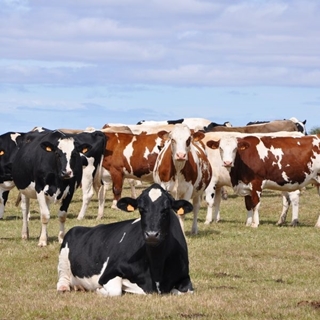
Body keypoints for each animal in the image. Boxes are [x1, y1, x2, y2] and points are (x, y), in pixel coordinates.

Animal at [56, 184, 194, 296]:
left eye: (166, 209)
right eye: (141, 209)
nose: (151, 234)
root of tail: (78, 228)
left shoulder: (185, 277)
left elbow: (187, 290)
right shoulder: (108, 273)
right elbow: (115, 291)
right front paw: (99, 290)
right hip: (63, 258)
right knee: (63, 278)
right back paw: (65, 288)